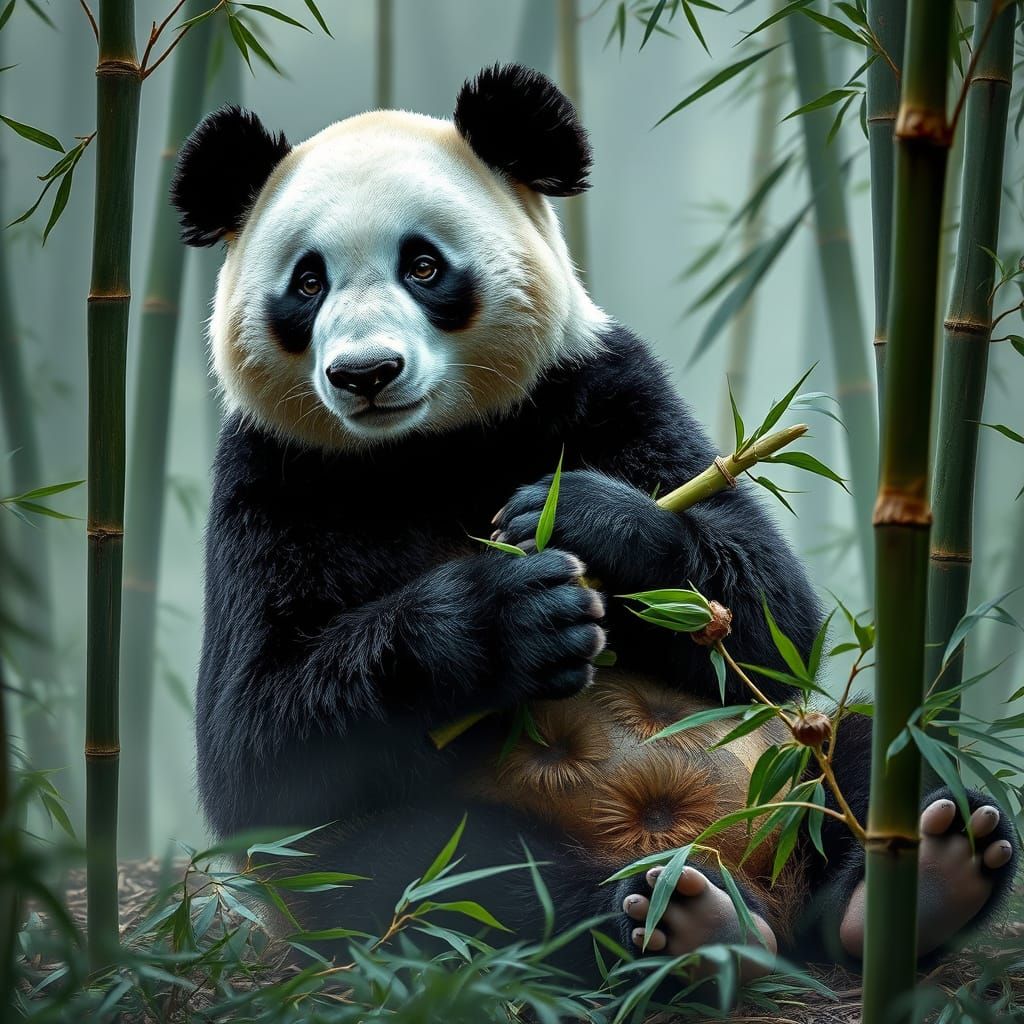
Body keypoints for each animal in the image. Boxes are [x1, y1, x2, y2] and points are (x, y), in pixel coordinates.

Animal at [172, 65, 1017, 984]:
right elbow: (257, 745)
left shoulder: (597, 382)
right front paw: (514, 616)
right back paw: (676, 921)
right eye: (307, 283)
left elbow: (771, 612)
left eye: (423, 265)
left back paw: (927, 872)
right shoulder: (276, 473)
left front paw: (582, 520)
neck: (426, 447)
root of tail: (751, 869)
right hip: (399, 867)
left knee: (882, 750)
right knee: (434, 878)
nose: (366, 374)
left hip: (793, 761)